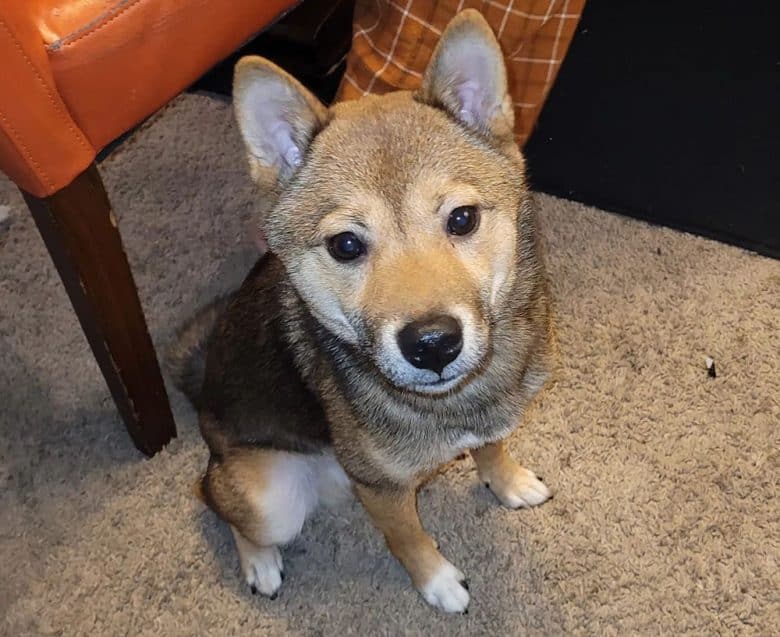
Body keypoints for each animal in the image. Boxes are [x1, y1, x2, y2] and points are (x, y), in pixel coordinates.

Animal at [168, 9, 552, 612]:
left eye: (463, 219)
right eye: (346, 245)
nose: (433, 344)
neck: (449, 406)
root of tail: (202, 393)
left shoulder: (494, 415)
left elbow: (491, 449)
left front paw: (507, 482)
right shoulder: (382, 490)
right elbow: (408, 537)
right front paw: (437, 582)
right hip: (268, 495)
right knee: (210, 495)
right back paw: (259, 562)